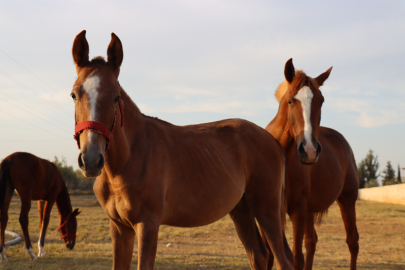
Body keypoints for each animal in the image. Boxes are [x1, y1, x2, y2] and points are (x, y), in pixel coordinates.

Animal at [68, 29, 290, 270]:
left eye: (116, 97)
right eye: (74, 95)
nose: (90, 160)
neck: (128, 161)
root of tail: (271, 140)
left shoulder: (148, 225)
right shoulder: (119, 227)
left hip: (267, 210)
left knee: (282, 259)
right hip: (242, 210)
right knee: (259, 256)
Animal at [264, 59, 358, 270]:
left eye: (321, 100)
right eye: (291, 100)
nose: (309, 150)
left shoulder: (298, 210)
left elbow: (296, 257)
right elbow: (269, 256)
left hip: (347, 201)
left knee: (352, 242)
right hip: (310, 211)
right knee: (312, 242)